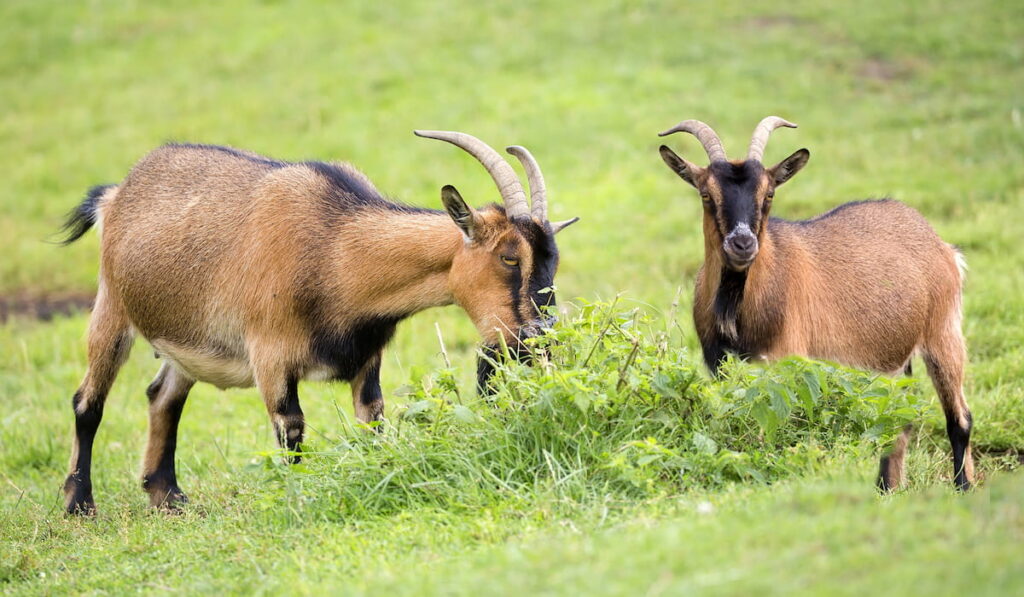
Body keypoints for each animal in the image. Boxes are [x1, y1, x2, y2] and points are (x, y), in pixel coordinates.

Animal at [59, 132, 581, 514]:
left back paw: (168, 496)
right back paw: (79, 504)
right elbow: (291, 429)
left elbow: (373, 421)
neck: (335, 250)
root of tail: (116, 195)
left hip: (184, 342)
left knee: (163, 397)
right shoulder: (270, 356)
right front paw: (298, 498)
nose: (537, 340)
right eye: (509, 257)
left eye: (553, 260)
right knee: (88, 402)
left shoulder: (367, 358)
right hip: (112, 308)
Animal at [659, 115, 970, 491]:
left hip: (943, 331)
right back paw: (887, 488)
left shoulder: (787, 362)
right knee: (898, 422)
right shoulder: (718, 363)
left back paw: (963, 487)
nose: (742, 244)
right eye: (706, 194)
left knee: (959, 418)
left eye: (769, 194)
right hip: (897, 358)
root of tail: (941, 245)